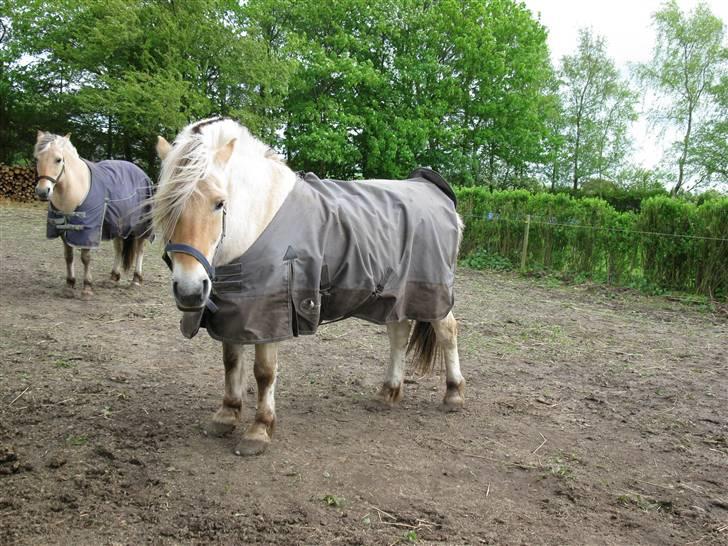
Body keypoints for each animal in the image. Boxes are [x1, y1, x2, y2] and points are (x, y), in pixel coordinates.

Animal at [152, 118, 466, 454]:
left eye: (218, 203)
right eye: (164, 204)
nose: (190, 290)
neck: (259, 218)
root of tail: (433, 189)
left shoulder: (269, 312)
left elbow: (264, 372)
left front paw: (259, 430)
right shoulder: (234, 308)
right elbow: (231, 361)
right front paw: (226, 415)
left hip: (431, 292)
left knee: (447, 331)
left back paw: (453, 394)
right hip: (395, 294)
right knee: (398, 333)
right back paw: (388, 392)